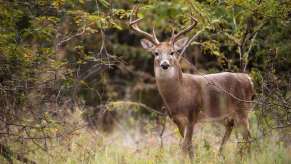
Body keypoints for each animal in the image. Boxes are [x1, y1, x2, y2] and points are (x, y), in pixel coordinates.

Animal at [130, 6, 256, 160]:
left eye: (172, 52)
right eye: (156, 53)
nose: (164, 64)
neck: (180, 94)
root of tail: (249, 79)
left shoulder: (192, 115)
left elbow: (185, 146)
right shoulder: (177, 120)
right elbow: (189, 147)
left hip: (243, 109)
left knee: (248, 138)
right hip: (226, 115)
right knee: (231, 131)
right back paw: (220, 155)